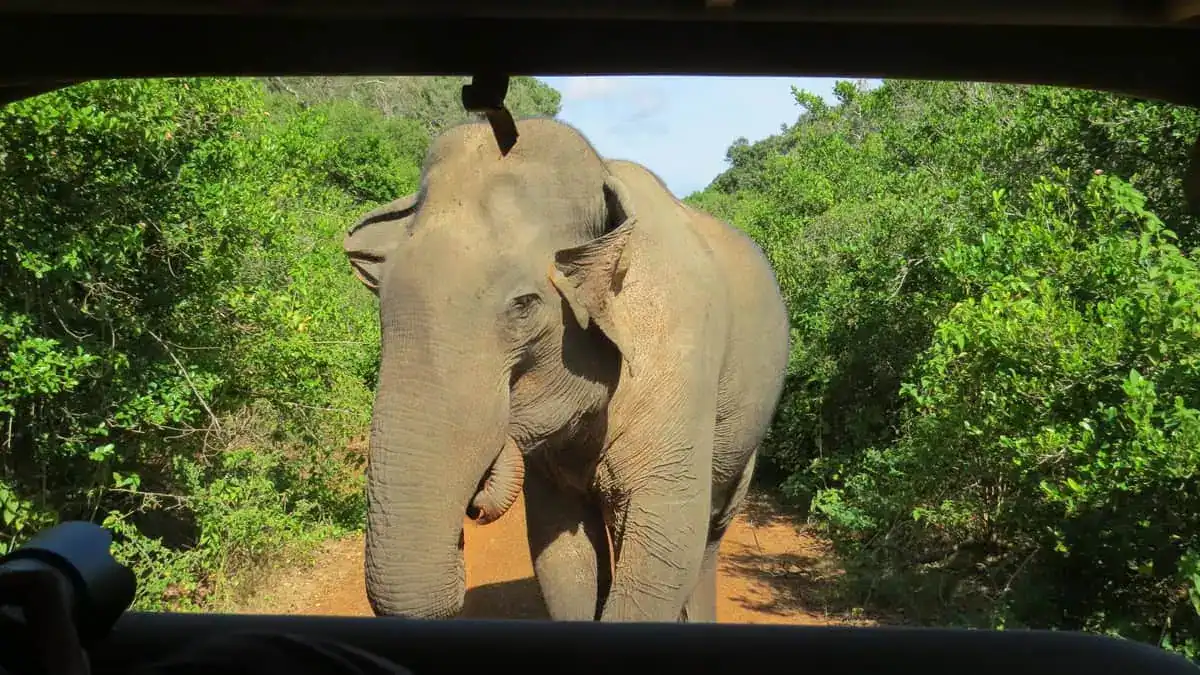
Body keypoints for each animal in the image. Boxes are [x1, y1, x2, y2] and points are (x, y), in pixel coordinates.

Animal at [341, 117, 790, 623]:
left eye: (524, 305)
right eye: (380, 296)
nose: (471, 511)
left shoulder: (678, 347)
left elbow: (665, 541)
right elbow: (560, 554)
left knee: (711, 529)